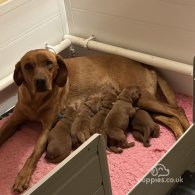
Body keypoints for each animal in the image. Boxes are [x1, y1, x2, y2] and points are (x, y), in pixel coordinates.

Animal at [0, 48, 189, 192]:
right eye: (28, 66)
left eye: (49, 63)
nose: (40, 81)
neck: (35, 100)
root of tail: (145, 65)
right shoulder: (13, 122)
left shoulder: (47, 128)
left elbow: (33, 154)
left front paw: (22, 177)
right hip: (141, 104)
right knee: (171, 119)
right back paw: (180, 135)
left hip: (143, 98)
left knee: (178, 110)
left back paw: (187, 132)